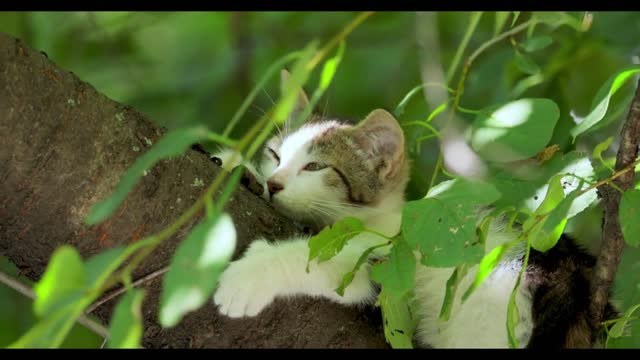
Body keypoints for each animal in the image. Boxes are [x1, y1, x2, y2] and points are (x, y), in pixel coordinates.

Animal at [212, 70, 616, 348]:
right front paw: (235, 166)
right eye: (274, 155)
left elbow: (317, 260)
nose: (274, 183)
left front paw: (246, 278)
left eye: (314, 167)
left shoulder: (385, 258)